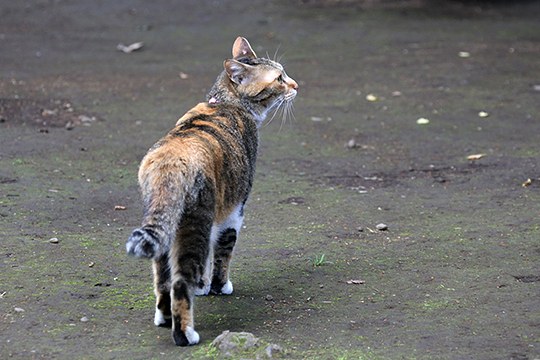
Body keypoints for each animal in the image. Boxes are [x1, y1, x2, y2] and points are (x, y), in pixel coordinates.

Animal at [125, 36, 298, 346]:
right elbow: (222, 251)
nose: (296, 85)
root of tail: (171, 160)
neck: (229, 104)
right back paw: (184, 334)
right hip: (196, 224)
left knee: (162, 279)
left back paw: (164, 318)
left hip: (168, 228)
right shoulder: (233, 211)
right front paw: (218, 286)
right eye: (279, 78)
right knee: (180, 282)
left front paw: (204, 286)